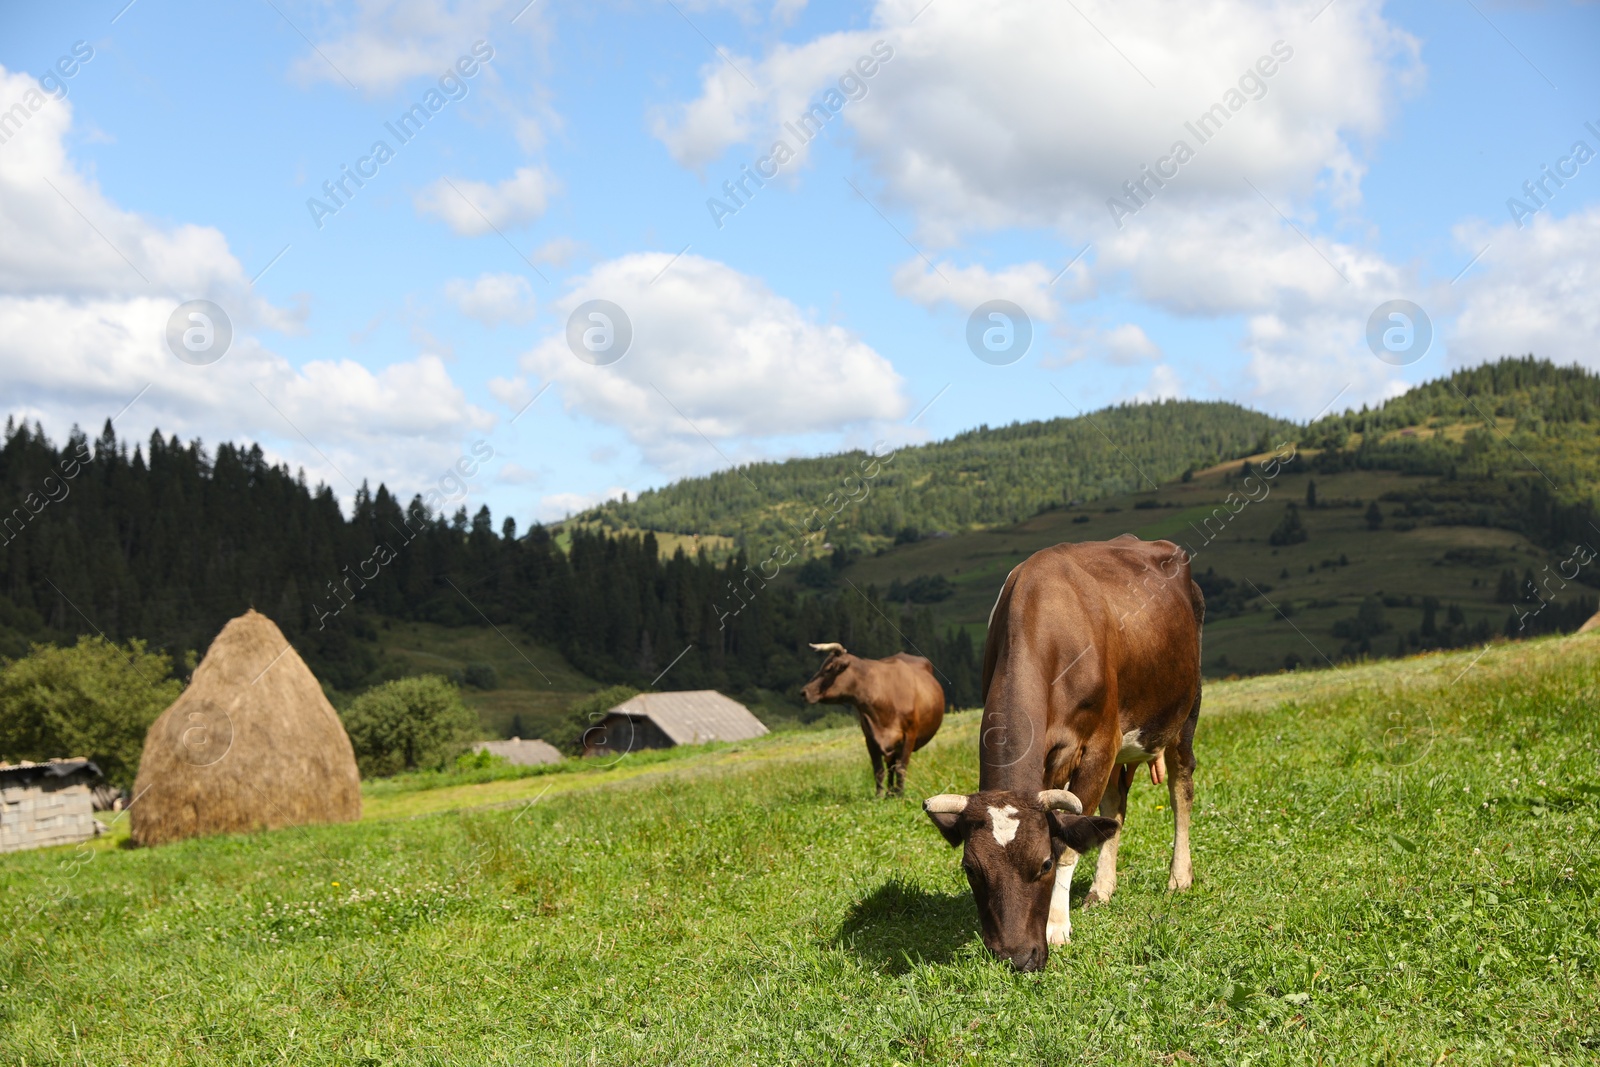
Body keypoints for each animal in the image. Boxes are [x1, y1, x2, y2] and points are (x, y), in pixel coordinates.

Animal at [796, 643, 934, 793]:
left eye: (828, 669)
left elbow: (901, 769)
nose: (803, 692)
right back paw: (889, 793)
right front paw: (879, 795)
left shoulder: (910, 735)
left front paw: (900, 794)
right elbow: (878, 770)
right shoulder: (870, 738)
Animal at [921, 537, 1203, 972]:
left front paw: (1056, 925)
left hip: (1184, 713)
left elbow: (1070, 840)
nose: (1017, 957)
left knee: (1180, 788)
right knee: (1114, 808)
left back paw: (1178, 877)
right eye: (971, 870)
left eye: (1044, 864)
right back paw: (1102, 889)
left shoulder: (1101, 742)